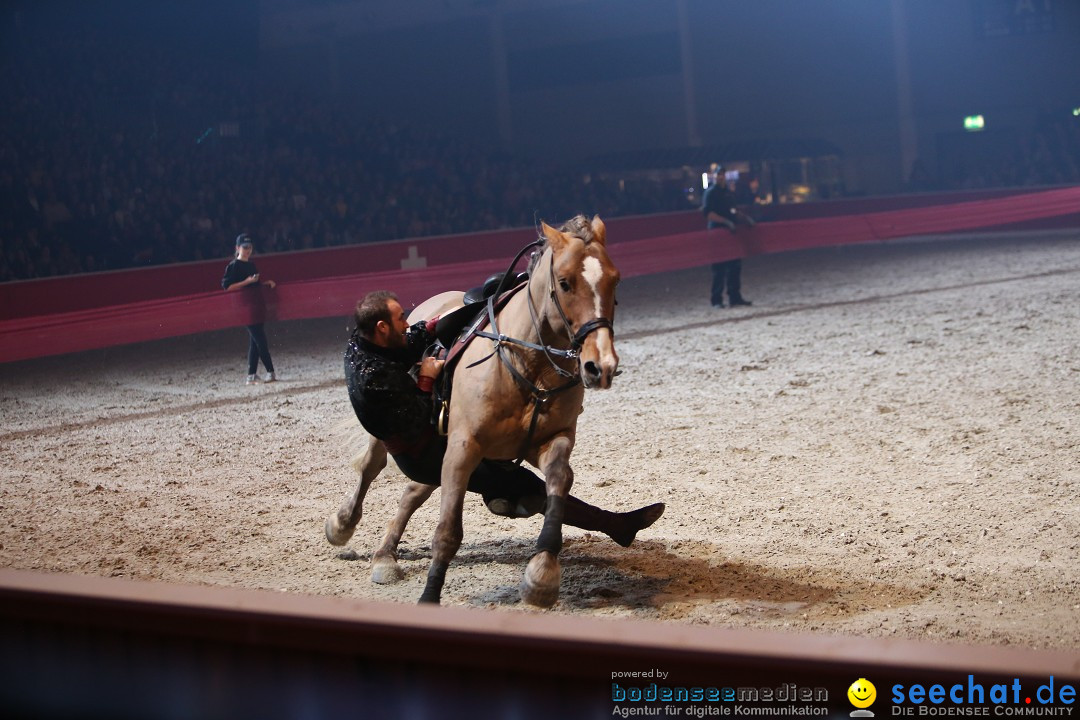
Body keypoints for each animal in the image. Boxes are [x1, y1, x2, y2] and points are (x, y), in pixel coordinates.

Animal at [324, 215, 622, 608]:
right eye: (565, 282)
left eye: (614, 279)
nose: (600, 365)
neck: (528, 365)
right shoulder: (463, 448)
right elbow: (447, 532)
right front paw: (429, 597)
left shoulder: (551, 441)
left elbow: (559, 482)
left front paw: (542, 573)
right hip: (396, 440)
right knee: (371, 468)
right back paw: (344, 525)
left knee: (414, 491)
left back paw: (385, 554)